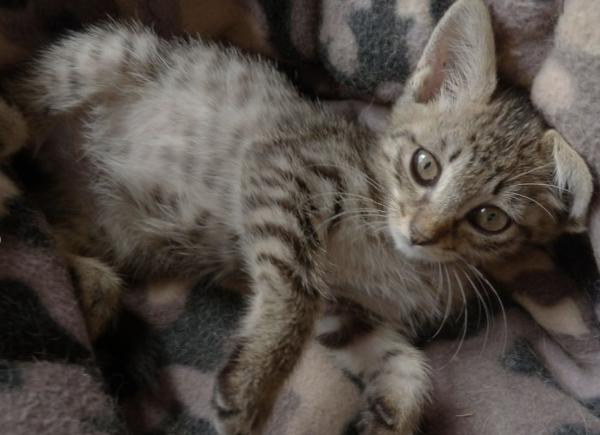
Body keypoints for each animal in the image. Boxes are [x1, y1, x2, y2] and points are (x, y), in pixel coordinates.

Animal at [11, 0, 592, 434]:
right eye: (424, 166)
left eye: (490, 219)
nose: (420, 233)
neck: (390, 247)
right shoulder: (283, 169)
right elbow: (295, 290)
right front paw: (253, 383)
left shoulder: (348, 309)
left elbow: (402, 359)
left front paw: (396, 411)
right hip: (105, 54)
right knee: (23, 102)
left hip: (103, 227)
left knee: (55, 231)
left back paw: (91, 286)